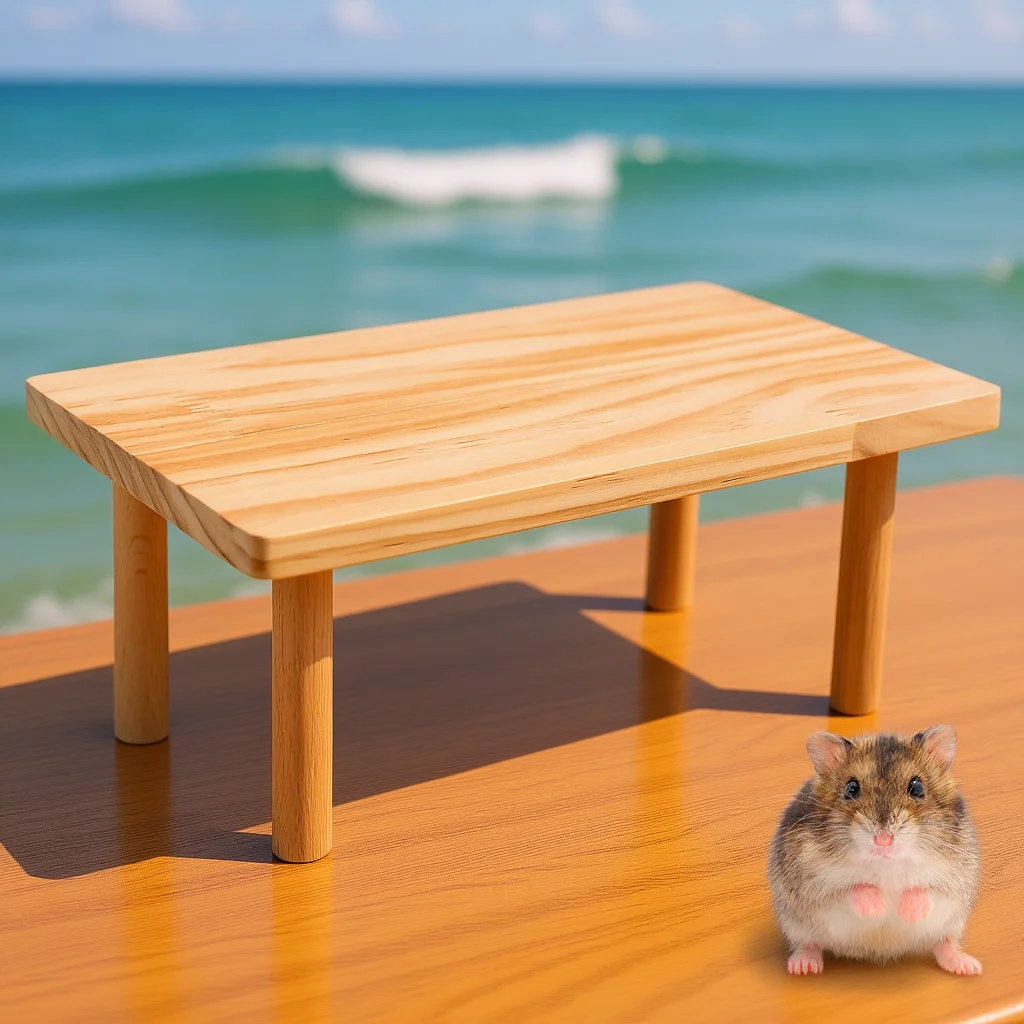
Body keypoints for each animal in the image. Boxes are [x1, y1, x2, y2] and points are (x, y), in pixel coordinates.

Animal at [767, 724, 981, 976]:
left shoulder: (951, 881)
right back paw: (803, 967)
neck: (886, 863)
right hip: (796, 924)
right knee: (807, 944)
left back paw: (968, 967)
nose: (883, 840)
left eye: (917, 787)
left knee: (944, 943)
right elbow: (854, 888)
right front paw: (880, 910)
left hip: (952, 924)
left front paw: (907, 913)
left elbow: (924, 889)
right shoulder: (816, 885)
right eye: (851, 788)